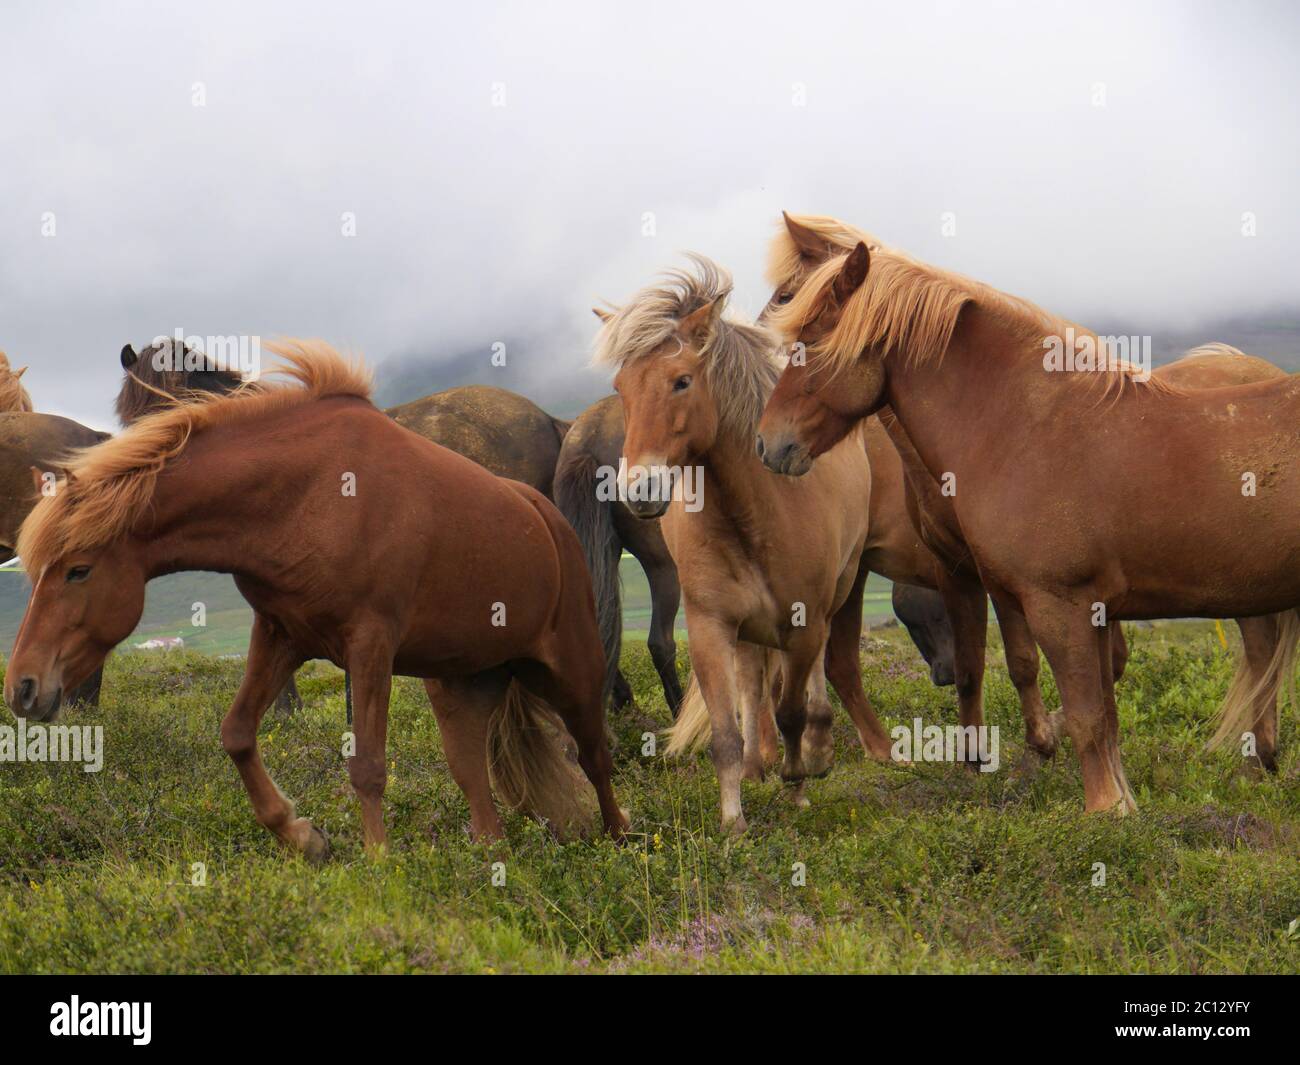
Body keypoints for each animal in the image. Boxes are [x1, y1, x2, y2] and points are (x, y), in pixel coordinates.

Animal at [18, 340, 627, 854]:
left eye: (77, 571)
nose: (23, 687)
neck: (305, 494)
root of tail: (547, 516)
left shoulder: (371, 644)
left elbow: (368, 764)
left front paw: (379, 865)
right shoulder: (282, 634)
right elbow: (237, 734)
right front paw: (302, 836)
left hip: (571, 671)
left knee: (595, 754)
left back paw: (621, 839)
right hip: (459, 683)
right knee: (472, 771)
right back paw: (489, 853)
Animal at [596, 255, 896, 833]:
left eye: (682, 381)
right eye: (621, 387)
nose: (638, 490)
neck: (753, 511)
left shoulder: (804, 622)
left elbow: (792, 710)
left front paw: (798, 782)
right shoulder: (711, 627)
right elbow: (726, 733)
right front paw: (733, 819)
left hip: (832, 598)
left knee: (811, 680)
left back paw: (815, 752)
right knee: (753, 682)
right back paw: (760, 765)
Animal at [758, 228, 1300, 812]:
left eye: (811, 340)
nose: (769, 443)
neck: (1028, 429)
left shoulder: (1058, 604)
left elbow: (1085, 715)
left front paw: (1102, 809)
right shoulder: (1089, 610)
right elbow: (1103, 716)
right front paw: (1119, 801)